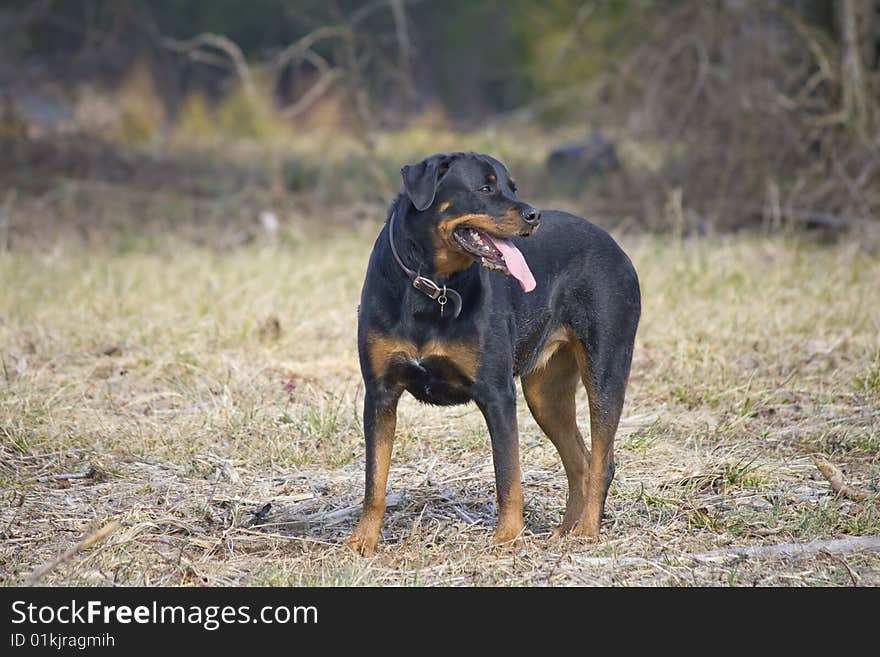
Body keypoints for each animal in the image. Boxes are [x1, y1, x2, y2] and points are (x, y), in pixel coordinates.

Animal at [344, 150, 640, 552]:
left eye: (511, 187)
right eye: (485, 188)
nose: (533, 215)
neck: (432, 287)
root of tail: (616, 245)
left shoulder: (497, 393)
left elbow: (508, 475)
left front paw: (507, 538)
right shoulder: (380, 393)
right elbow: (374, 480)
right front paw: (363, 541)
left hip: (606, 366)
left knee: (602, 461)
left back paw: (587, 532)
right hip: (545, 393)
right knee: (581, 461)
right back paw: (565, 531)